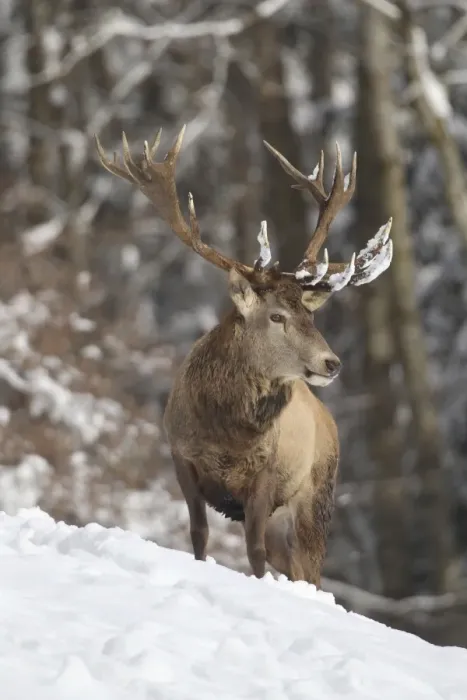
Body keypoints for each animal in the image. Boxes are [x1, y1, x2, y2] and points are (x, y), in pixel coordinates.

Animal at [96, 126, 392, 587]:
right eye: (277, 316)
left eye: (310, 314)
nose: (332, 363)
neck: (226, 434)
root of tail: (330, 422)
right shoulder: (181, 456)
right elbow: (199, 535)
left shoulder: (266, 476)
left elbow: (252, 553)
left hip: (317, 497)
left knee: (310, 570)